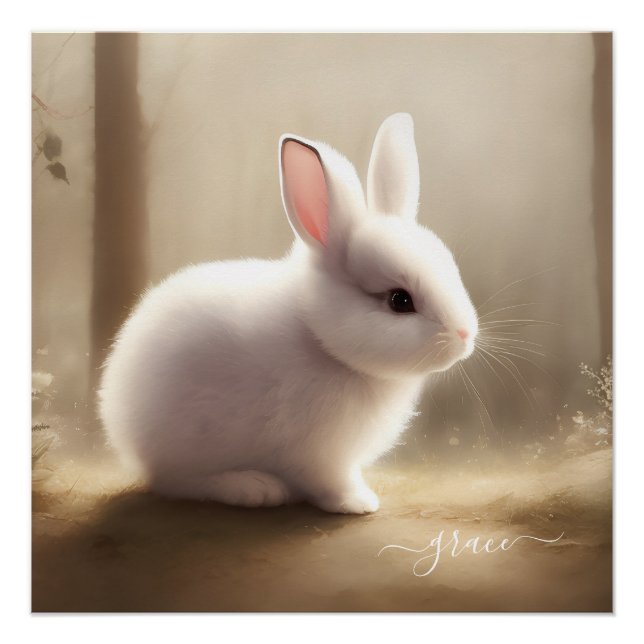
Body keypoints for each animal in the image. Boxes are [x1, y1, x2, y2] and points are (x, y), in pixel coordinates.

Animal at [98, 113, 478, 514]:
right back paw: (252, 488)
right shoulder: (319, 457)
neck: (324, 344)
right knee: (175, 482)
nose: (465, 335)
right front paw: (359, 503)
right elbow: (331, 484)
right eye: (399, 301)